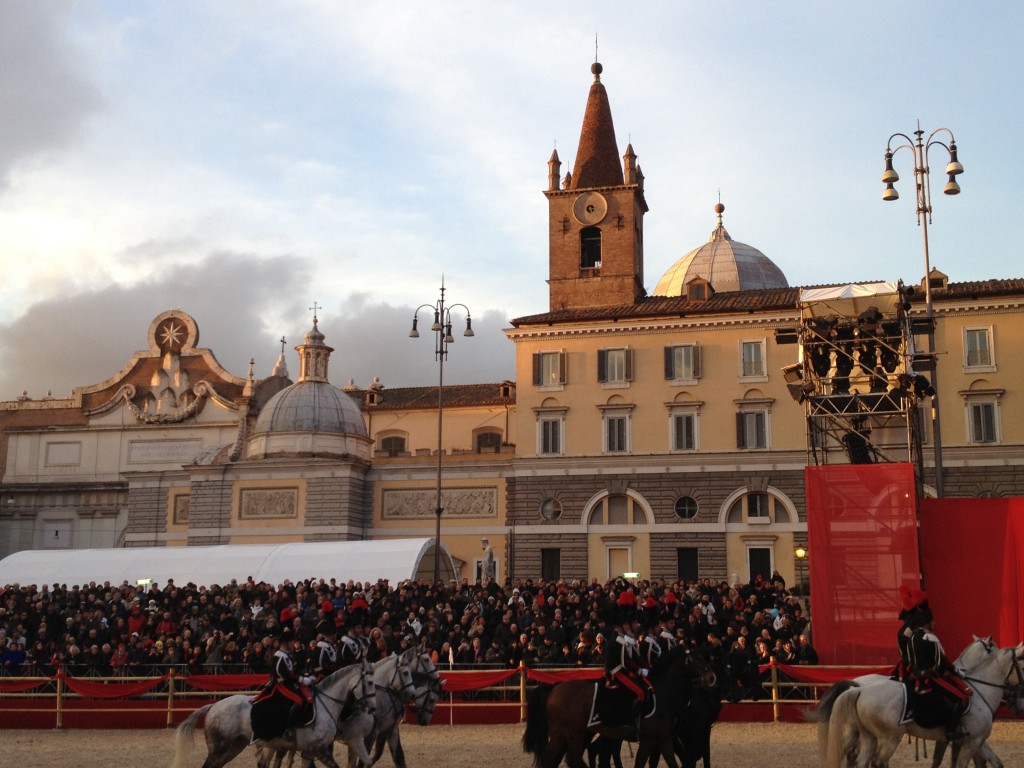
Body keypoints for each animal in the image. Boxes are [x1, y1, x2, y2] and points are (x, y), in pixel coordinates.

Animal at [167, 655, 376, 768]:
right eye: (370, 682)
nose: (372, 708)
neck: (327, 702)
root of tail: (213, 706)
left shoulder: (310, 751)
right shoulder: (320, 749)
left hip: (234, 746)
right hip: (219, 747)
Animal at [524, 651, 716, 768]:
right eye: (695, 660)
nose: (712, 677)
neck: (663, 694)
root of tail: (555, 687)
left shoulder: (664, 738)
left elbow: (671, 763)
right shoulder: (648, 740)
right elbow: (640, 763)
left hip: (561, 733)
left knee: (551, 760)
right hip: (574, 733)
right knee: (573, 759)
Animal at [823, 638, 1024, 768]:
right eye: (1023, 666)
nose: (1018, 704)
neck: (978, 687)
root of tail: (859, 689)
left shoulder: (968, 741)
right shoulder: (971, 741)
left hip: (868, 736)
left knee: (859, 760)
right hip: (890, 737)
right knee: (877, 761)